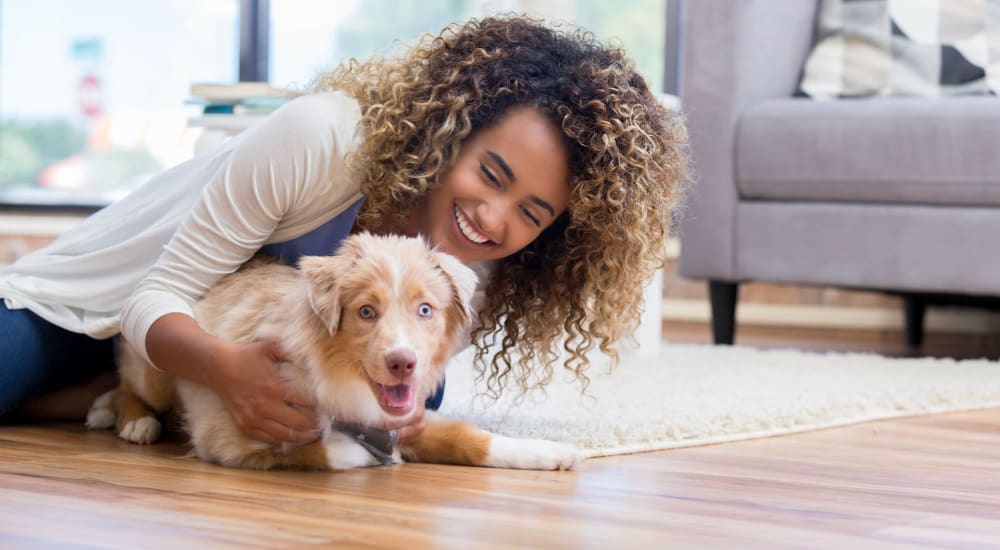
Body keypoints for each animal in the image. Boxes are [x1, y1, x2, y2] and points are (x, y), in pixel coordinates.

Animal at [90, 235, 584, 472]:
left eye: (425, 309)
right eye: (366, 311)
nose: (403, 363)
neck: (340, 375)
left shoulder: (405, 417)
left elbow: (471, 437)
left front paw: (550, 452)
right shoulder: (227, 437)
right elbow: (325, 450)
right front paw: (369, 453)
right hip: (155, 366)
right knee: (128, 382)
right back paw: (128, 419)